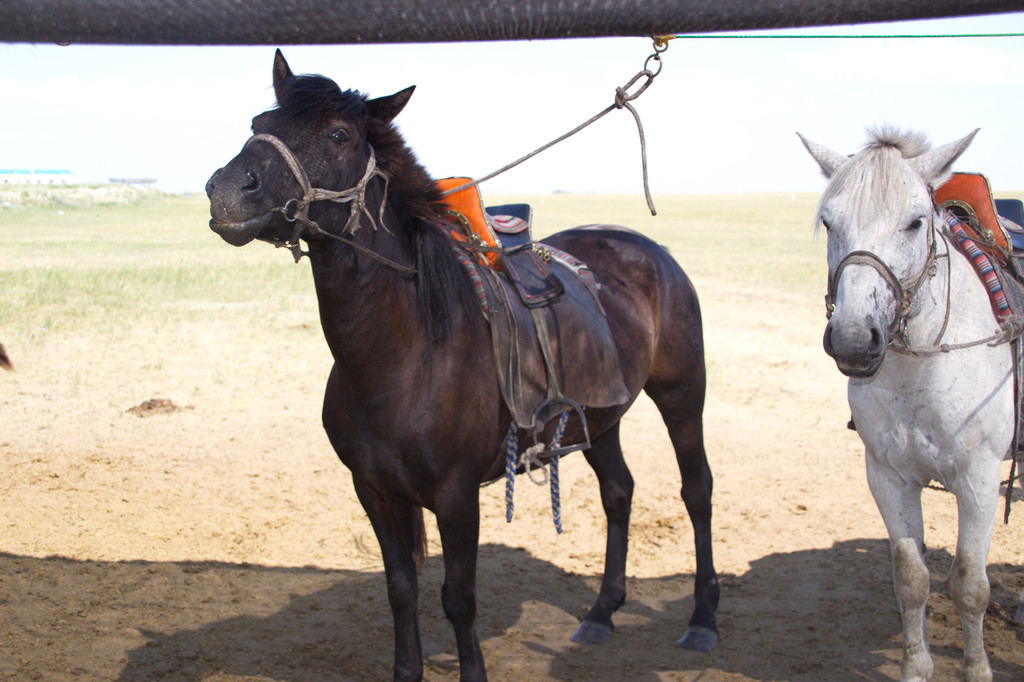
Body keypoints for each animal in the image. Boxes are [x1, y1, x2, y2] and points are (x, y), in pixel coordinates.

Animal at [205, 51, 720, 679]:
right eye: (260, 122)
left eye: (338, 135)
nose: (228, 191)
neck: (404, 358)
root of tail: (647, 248)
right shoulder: (374, 492)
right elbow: (400, 589)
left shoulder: (456, 496)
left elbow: (458, 598)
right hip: (598, 419)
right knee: (618, 492)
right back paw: (601, 612)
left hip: (681, 394)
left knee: (697, 490)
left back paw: (703, 619)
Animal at [798, 127, 1015, 679]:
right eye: (829, 222)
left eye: (916, 222)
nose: (854, 340)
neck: (922, 371)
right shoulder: (888, 477)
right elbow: (911, 578)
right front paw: (917, 666)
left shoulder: (979, 480)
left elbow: (970, 584)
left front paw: (977, 668)